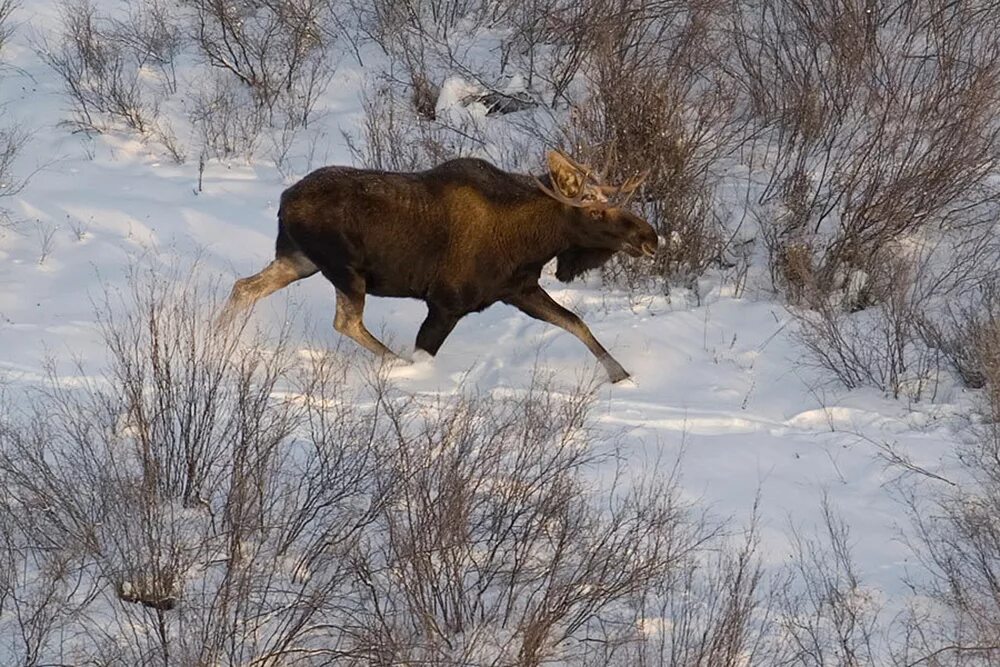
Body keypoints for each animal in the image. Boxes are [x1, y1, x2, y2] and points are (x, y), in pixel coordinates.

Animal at [221, 150, 656, 380]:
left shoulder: (519, 289)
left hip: (299, 260)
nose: (650, 237)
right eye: (595, 212)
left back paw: (217, 336)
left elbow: (576, 323)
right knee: (346, 320)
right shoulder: (447, 303)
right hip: (343, 269)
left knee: (245, 286)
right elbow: (423, 353)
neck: (532, 240)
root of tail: (284, 199)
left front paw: (622, 376)